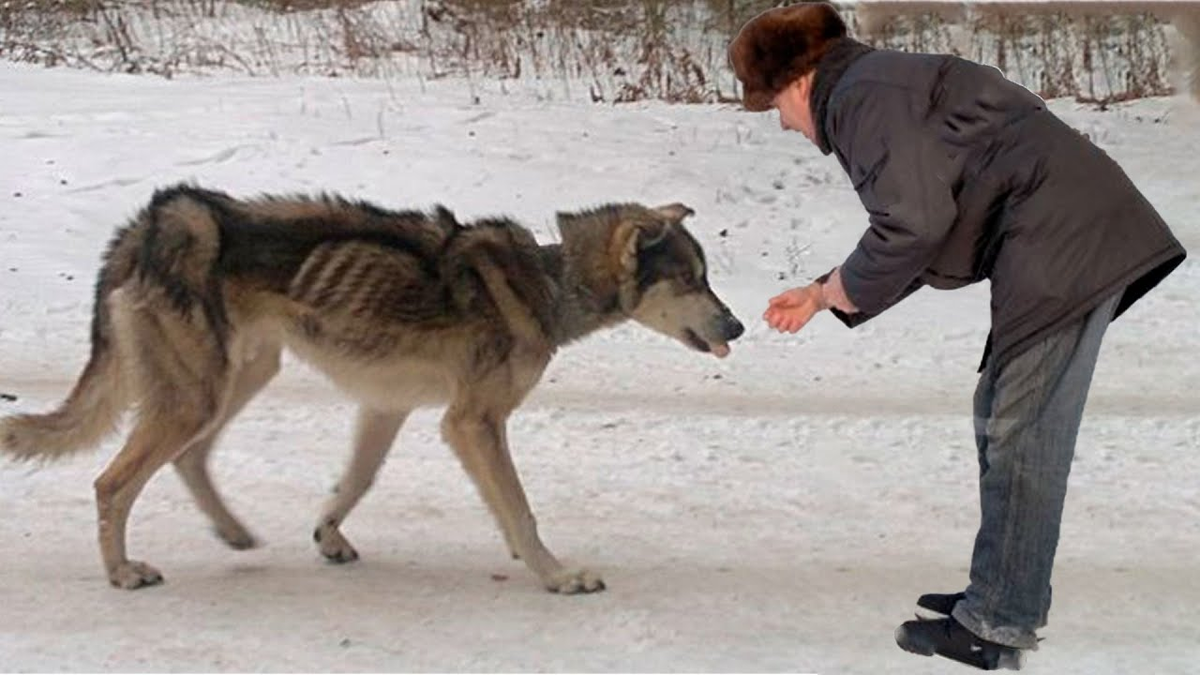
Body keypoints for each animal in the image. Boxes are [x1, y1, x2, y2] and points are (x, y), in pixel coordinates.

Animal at [0, 182, 744, 588]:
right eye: (691, 279)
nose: (737, 325)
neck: (551, 285)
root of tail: (153, 220)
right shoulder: (471, 422)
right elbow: (522, 509)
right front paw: (559, 575)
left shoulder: (390, 406)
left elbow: (355, 483)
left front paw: (328, 536)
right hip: (198, 395)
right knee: (111, 483)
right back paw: (124, 573)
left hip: (237, 380)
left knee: (190, 459)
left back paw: (234, 533)